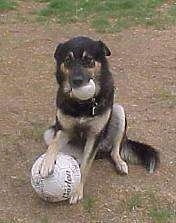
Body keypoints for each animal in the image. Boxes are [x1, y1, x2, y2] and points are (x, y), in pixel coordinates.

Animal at [39, 36, 160, 204]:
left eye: (88, 60)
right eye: (68, 60)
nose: (77, 81)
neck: (83, 103)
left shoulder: (95, 136)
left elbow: (85, 167)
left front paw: (77, 190)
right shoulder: (63, 129)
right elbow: (53, 146)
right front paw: (46, 164)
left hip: (118, 111)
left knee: (114, 150)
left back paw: (120, 163)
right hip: (50, 134)